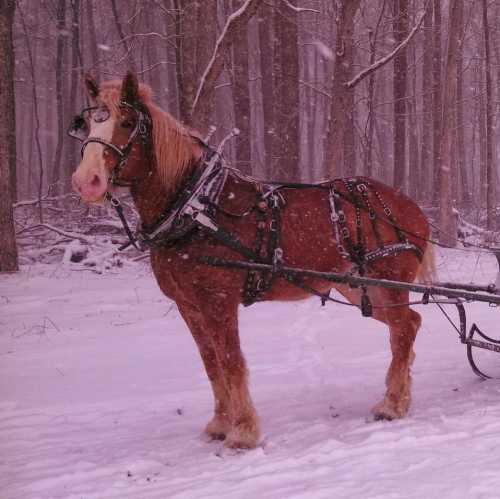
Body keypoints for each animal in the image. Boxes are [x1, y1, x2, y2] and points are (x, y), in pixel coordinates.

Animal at [70, 72, 434, 452]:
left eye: (127, 123)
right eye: (86, 125)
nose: (86, 182)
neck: (197, 208)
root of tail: (409, 205)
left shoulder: (218, 301)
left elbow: (231, 361)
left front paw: (243, 432)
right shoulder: (189, 305)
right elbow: (211, 363)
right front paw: (219, 424)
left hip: (388, 283)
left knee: (402, 331)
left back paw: (392, 404)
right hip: (359, 288)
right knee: (409, 325)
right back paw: (399, 395)